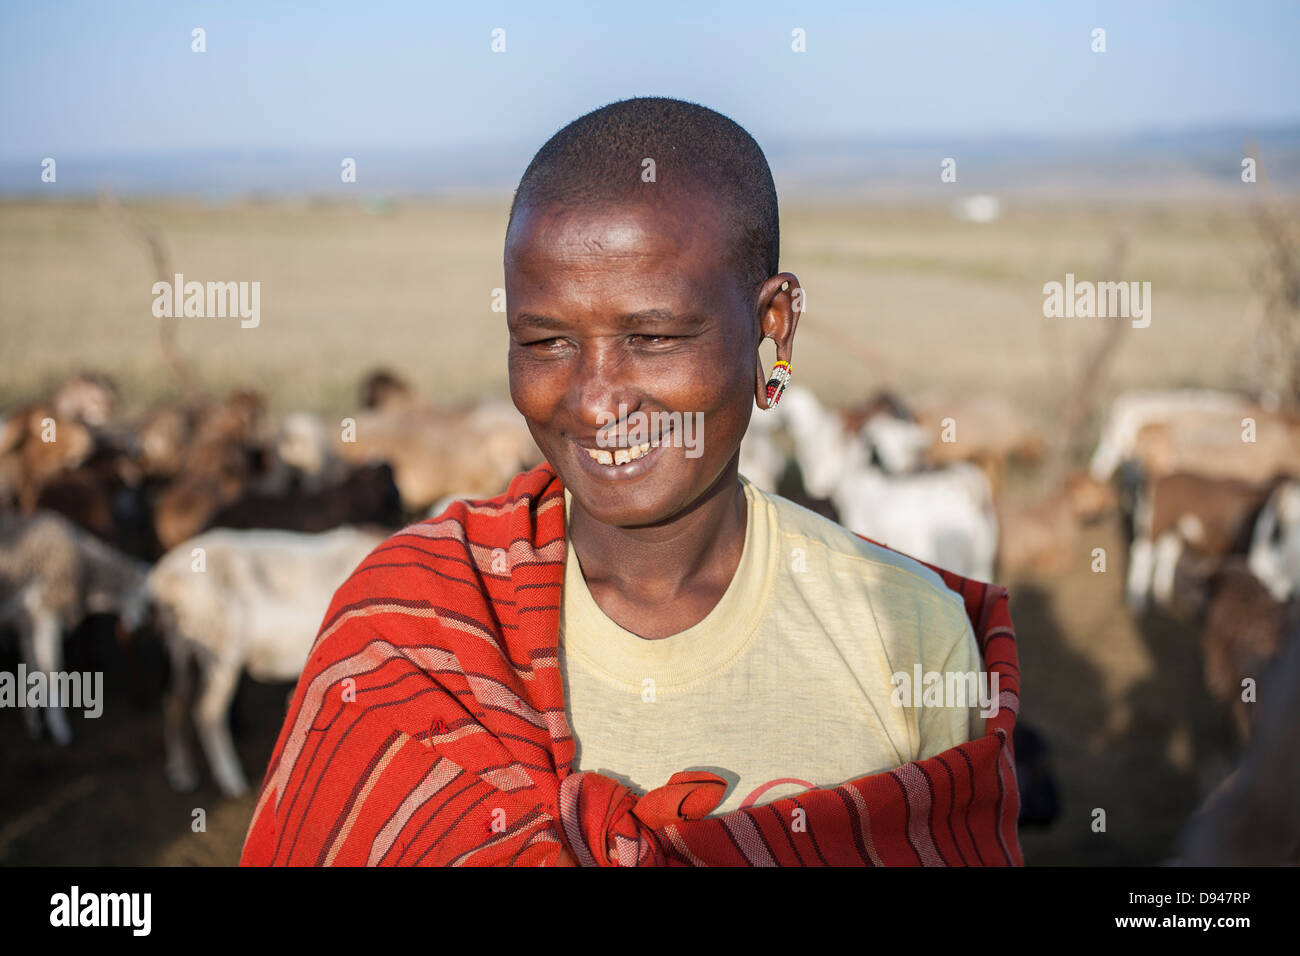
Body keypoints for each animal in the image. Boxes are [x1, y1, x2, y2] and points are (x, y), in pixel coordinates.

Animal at [0, 515, 149, 749]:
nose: (136, 627)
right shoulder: (47, 614)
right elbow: (51, 671)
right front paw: (61, 731)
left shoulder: (27, 623)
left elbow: (30, 670)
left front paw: (35, 725)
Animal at [148, 528, 384, 796]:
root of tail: (163, 581)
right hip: (220, 650)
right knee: (206, 711)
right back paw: (231, 780)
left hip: (180, 648)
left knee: (174, 700)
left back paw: (181, 772)